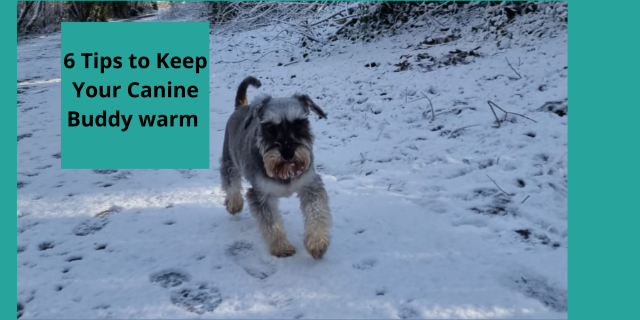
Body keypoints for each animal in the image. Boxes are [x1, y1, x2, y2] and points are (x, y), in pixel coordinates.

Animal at [219, 76, 330, 258]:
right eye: (270, 127)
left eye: (299, 124)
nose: (288, 153)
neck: (285, 171)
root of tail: (241, 107)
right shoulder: (261, 195)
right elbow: (270, 223)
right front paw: (281, 247)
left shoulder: (310, 185)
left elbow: (317, 211)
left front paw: (317, 242)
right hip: (229, 158)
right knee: (229, 180)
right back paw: (234, 203)